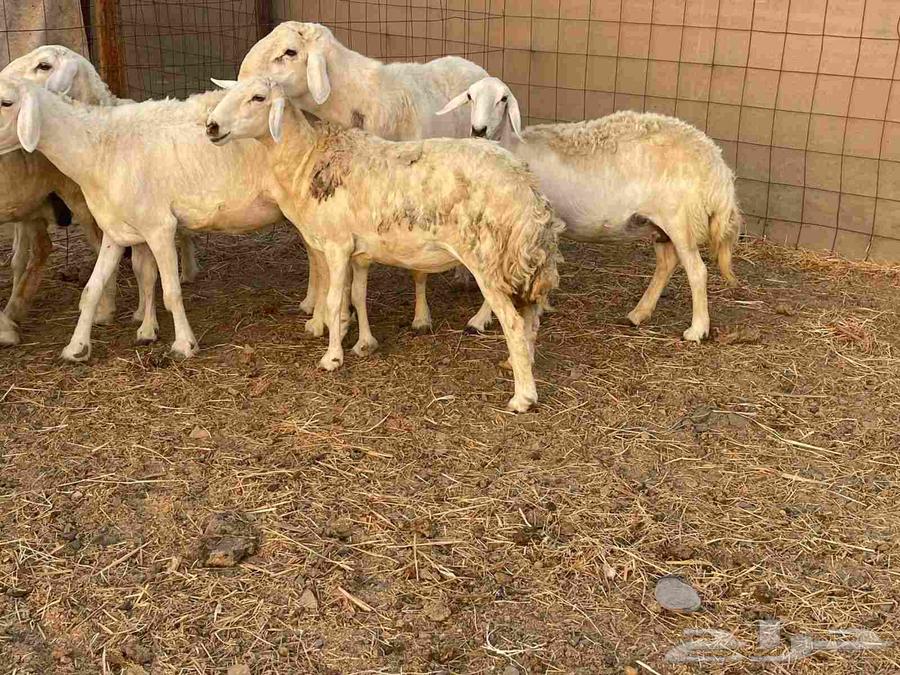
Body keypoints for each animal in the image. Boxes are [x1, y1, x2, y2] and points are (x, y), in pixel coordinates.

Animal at [0, 75, 287, 362]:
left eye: (6, 102)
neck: (99, 150)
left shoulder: (160, 227)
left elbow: (171, 292)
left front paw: (184, 344)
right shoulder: (116, 230)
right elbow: (94, 289)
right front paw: (77, 346)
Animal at [206, 77, 563, 412]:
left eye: (258, 97)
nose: (211, 126)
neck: (306, 159)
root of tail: (525, 186)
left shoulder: (336, 245)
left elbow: (334, 300)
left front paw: (332, 357)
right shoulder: (359, 251)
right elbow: (357, 295)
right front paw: (364, 344)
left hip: (488, 258)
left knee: (513, 323)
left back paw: (523, 397)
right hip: (521, 259)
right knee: (530, 318)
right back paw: (519, 364)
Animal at [232, 21, 488, 331]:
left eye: (289, 52)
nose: (242, 82)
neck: (355, 101)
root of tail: (467, 61)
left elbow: (417, 270)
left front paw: (421, 317)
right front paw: (342, 316)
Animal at [438, 77, 741, 342]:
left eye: (503, 99)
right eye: (470, 96)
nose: (478, 130)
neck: (513, 150)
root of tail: (715, 162)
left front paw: (479, 320)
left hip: (680, 219)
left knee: (697, 271)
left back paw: (697, 330)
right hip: (659, 223)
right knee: (666, 264)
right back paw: (638, 314)